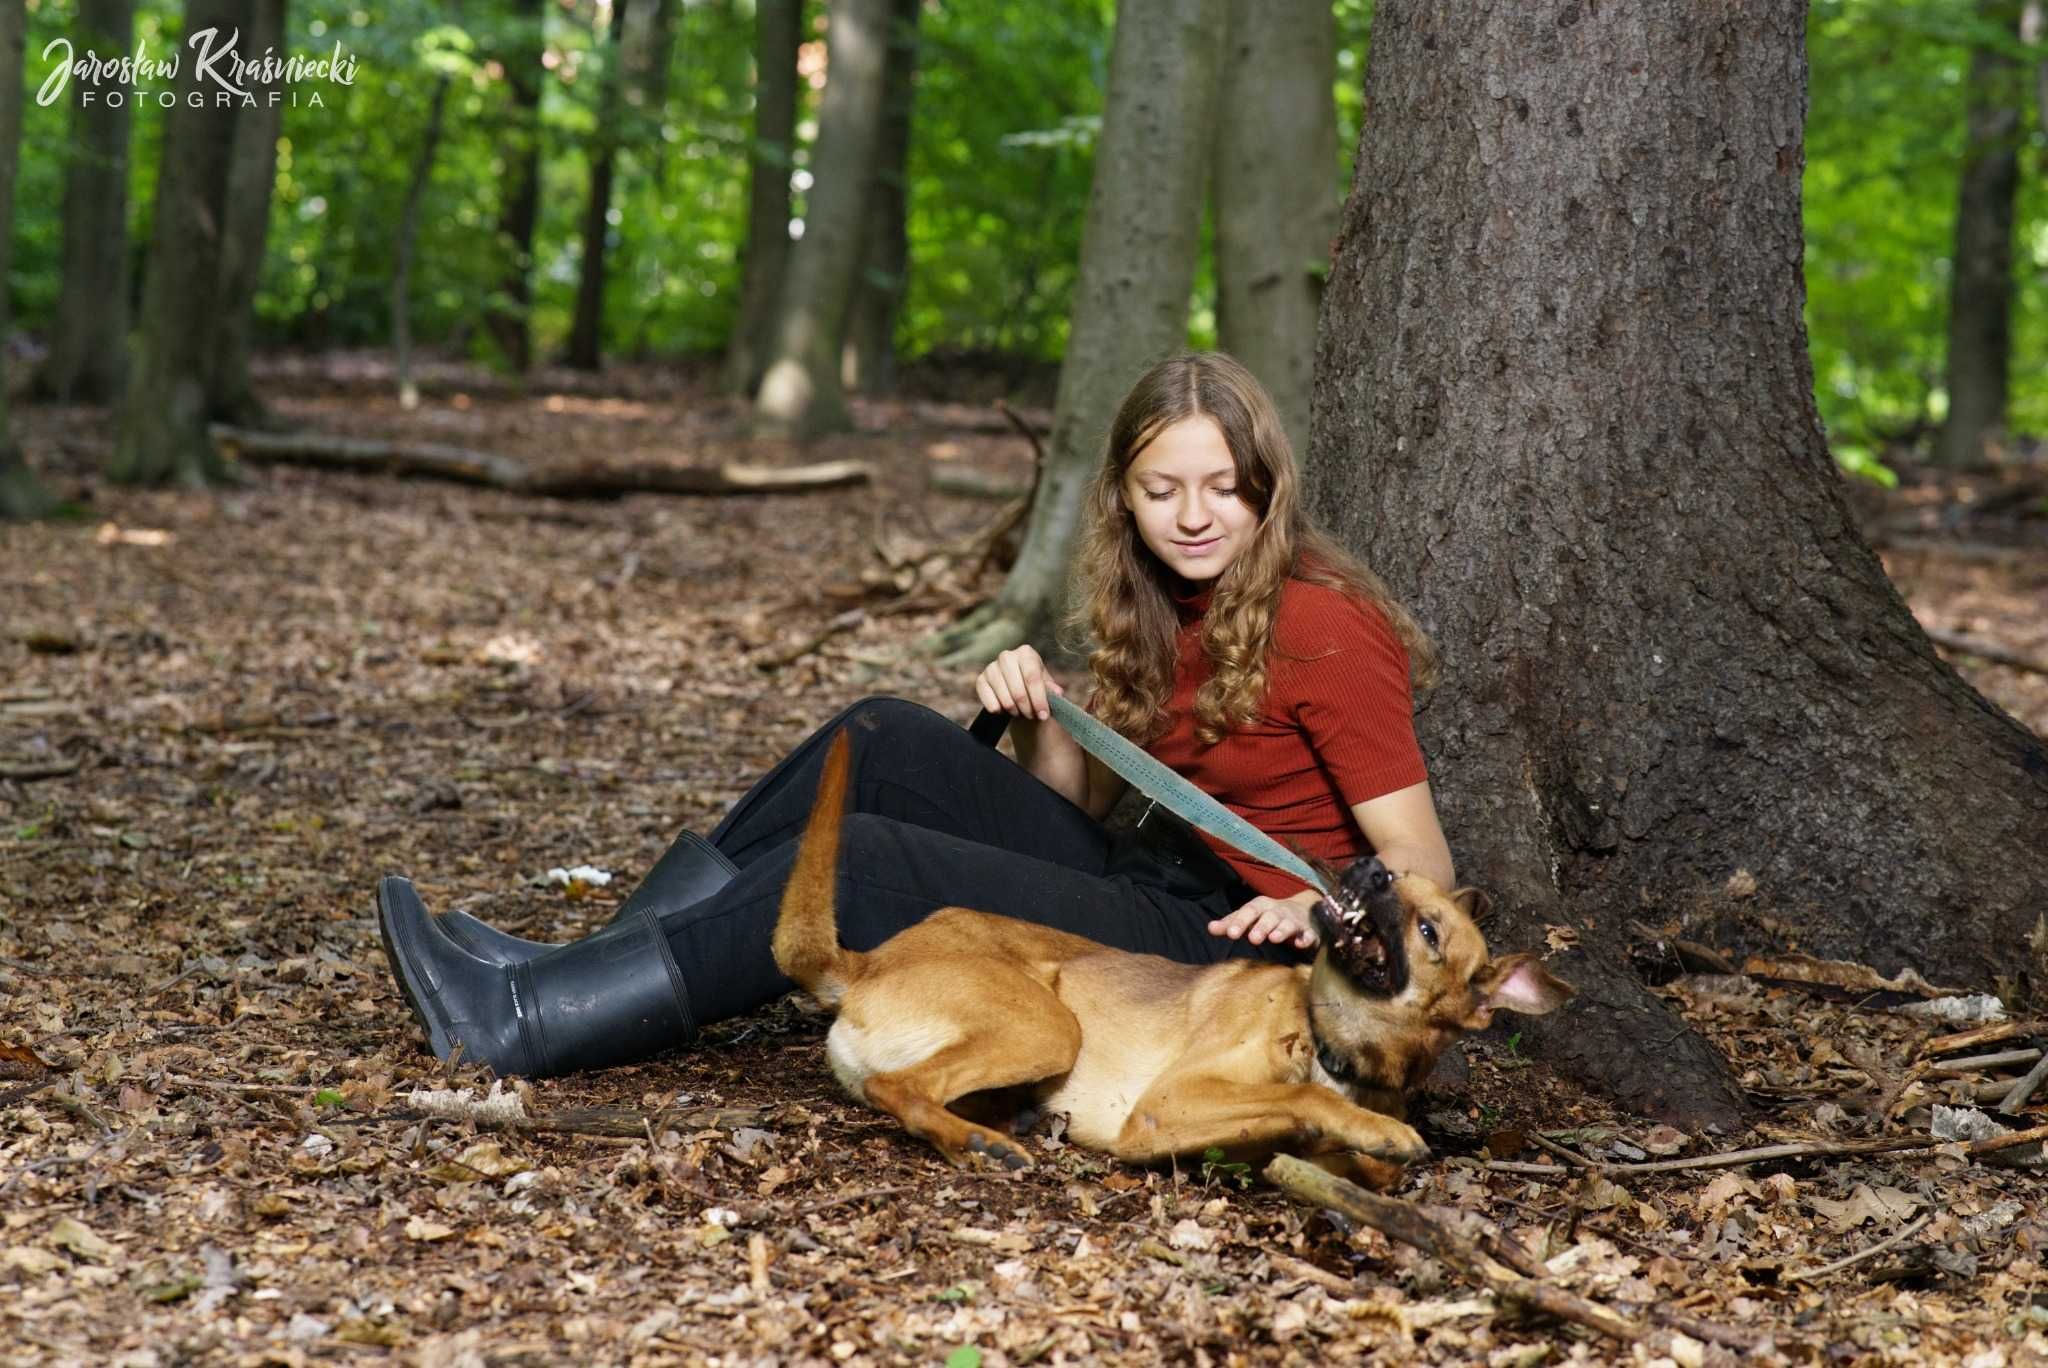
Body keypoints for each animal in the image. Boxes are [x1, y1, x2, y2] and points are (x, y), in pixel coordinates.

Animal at [770, 733, 1564, 1179]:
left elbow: (1352, 1159)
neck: (1331, 1039)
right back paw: (978, 1142)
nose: (1370, 870)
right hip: (1048, 1025)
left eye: (1429, 930)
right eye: (1397, 882)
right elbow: (1305, 1102)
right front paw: (1371, 1128)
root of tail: (867, 962)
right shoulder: (1164, 1106)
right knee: (898, 1088)